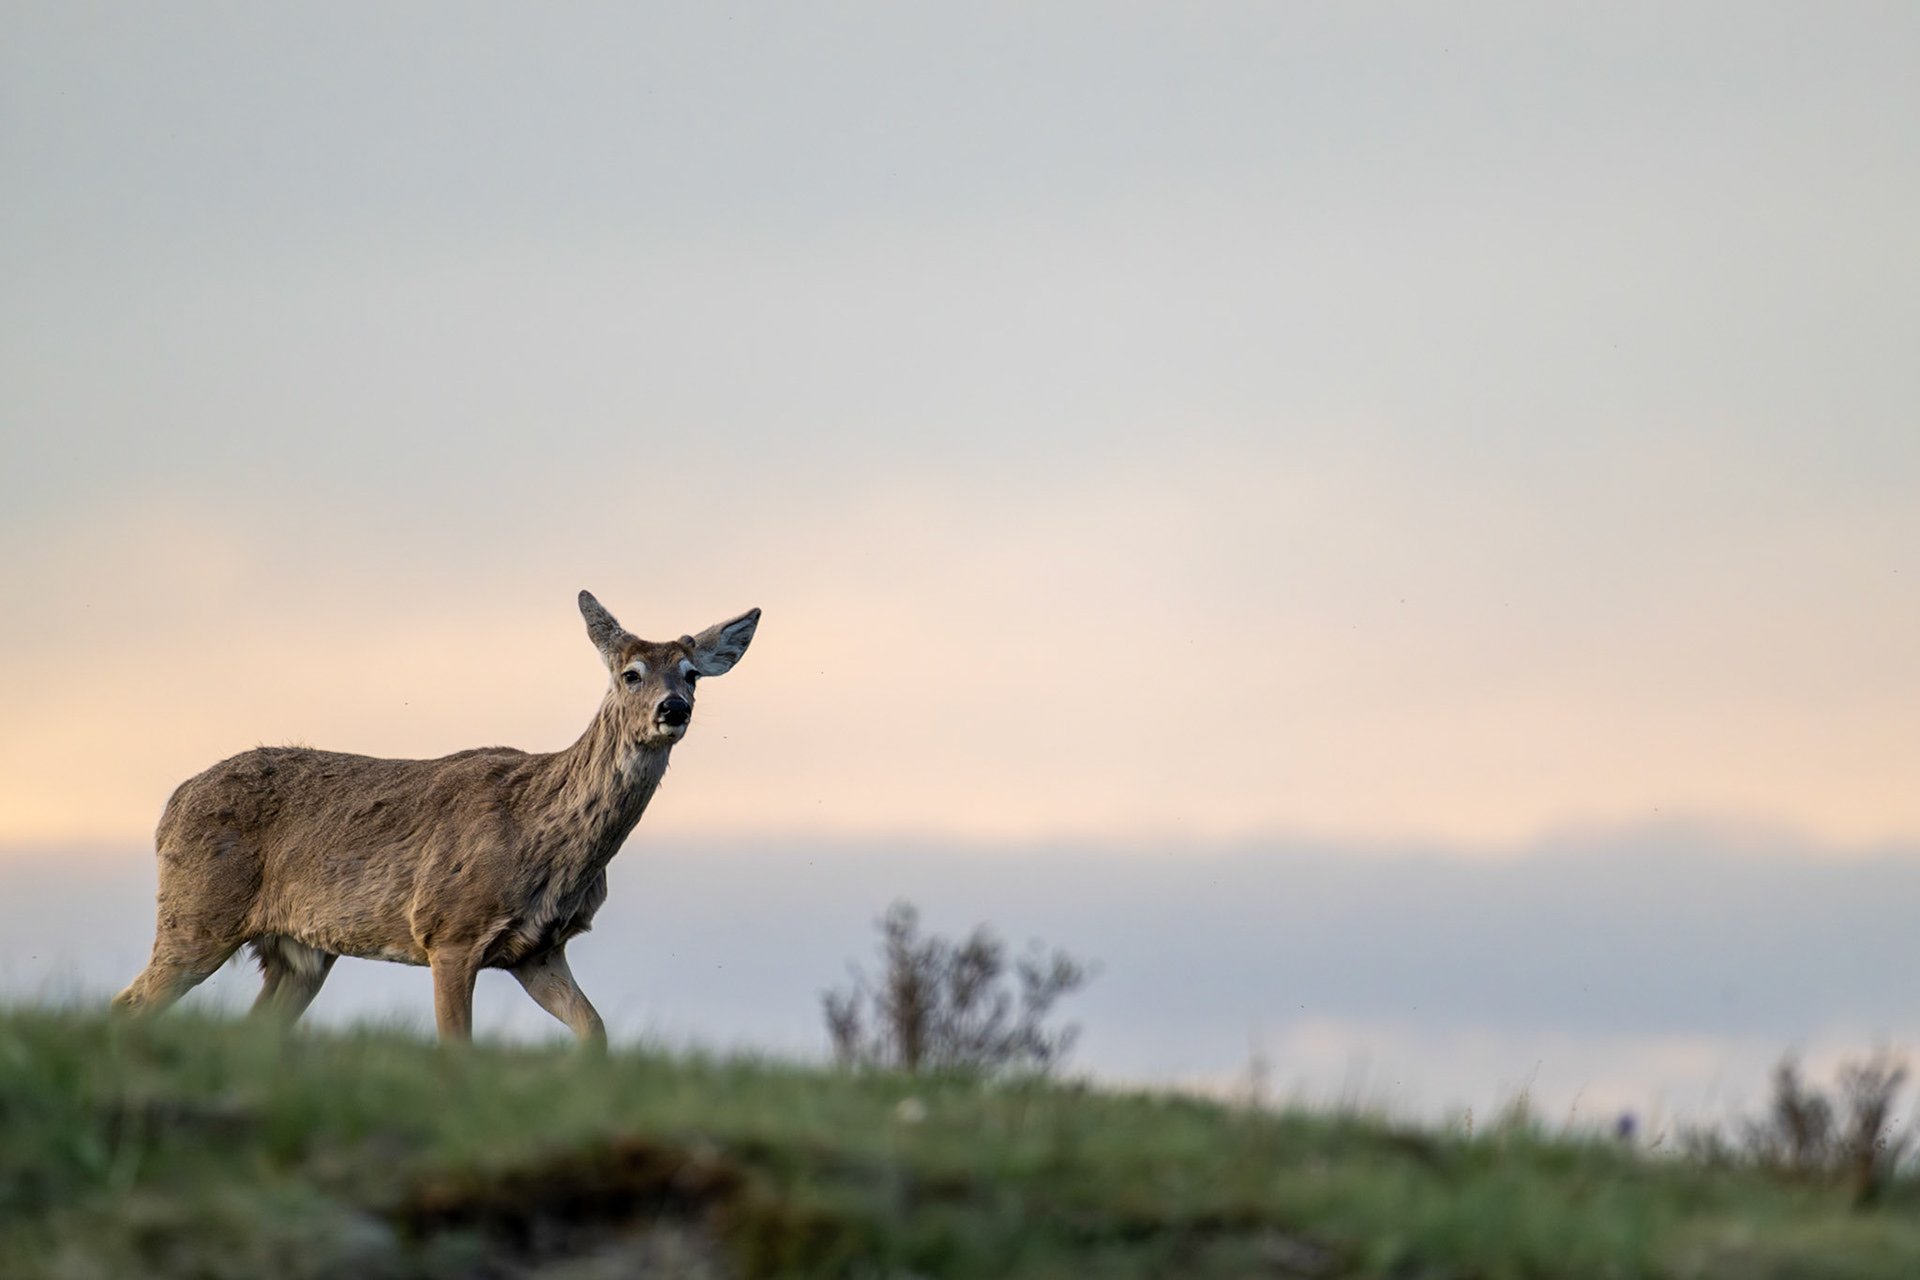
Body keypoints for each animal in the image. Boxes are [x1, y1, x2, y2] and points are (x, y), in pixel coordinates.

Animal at [112, 591, 760, 1044]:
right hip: (197, 914)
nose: (673, 708)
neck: (544, 839)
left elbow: (595, 1031)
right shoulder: (449, 931)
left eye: (692, 674)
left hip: (298, 951)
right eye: (630, 673)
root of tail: (169, 808)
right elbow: (458, 1046)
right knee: (129, 1004)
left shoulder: (538, 950)